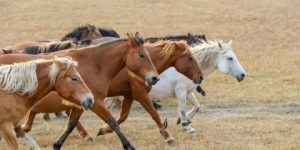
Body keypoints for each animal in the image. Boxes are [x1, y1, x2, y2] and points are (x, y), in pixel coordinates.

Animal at [2, 33, 159, 149]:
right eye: (142, 55)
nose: (154, 78)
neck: (95, 65)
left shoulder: (81, 104)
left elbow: (70, 125)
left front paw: (57, 144)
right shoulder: (96, 103)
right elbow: (113, 122)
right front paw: (128, 145)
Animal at [21, 39, 204, 145]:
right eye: (190, 58)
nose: (200, 77)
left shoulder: (129, 96)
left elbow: (121, 117)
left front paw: (103, 130)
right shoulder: (141, 95)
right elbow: (154, 115)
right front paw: (168, 137)